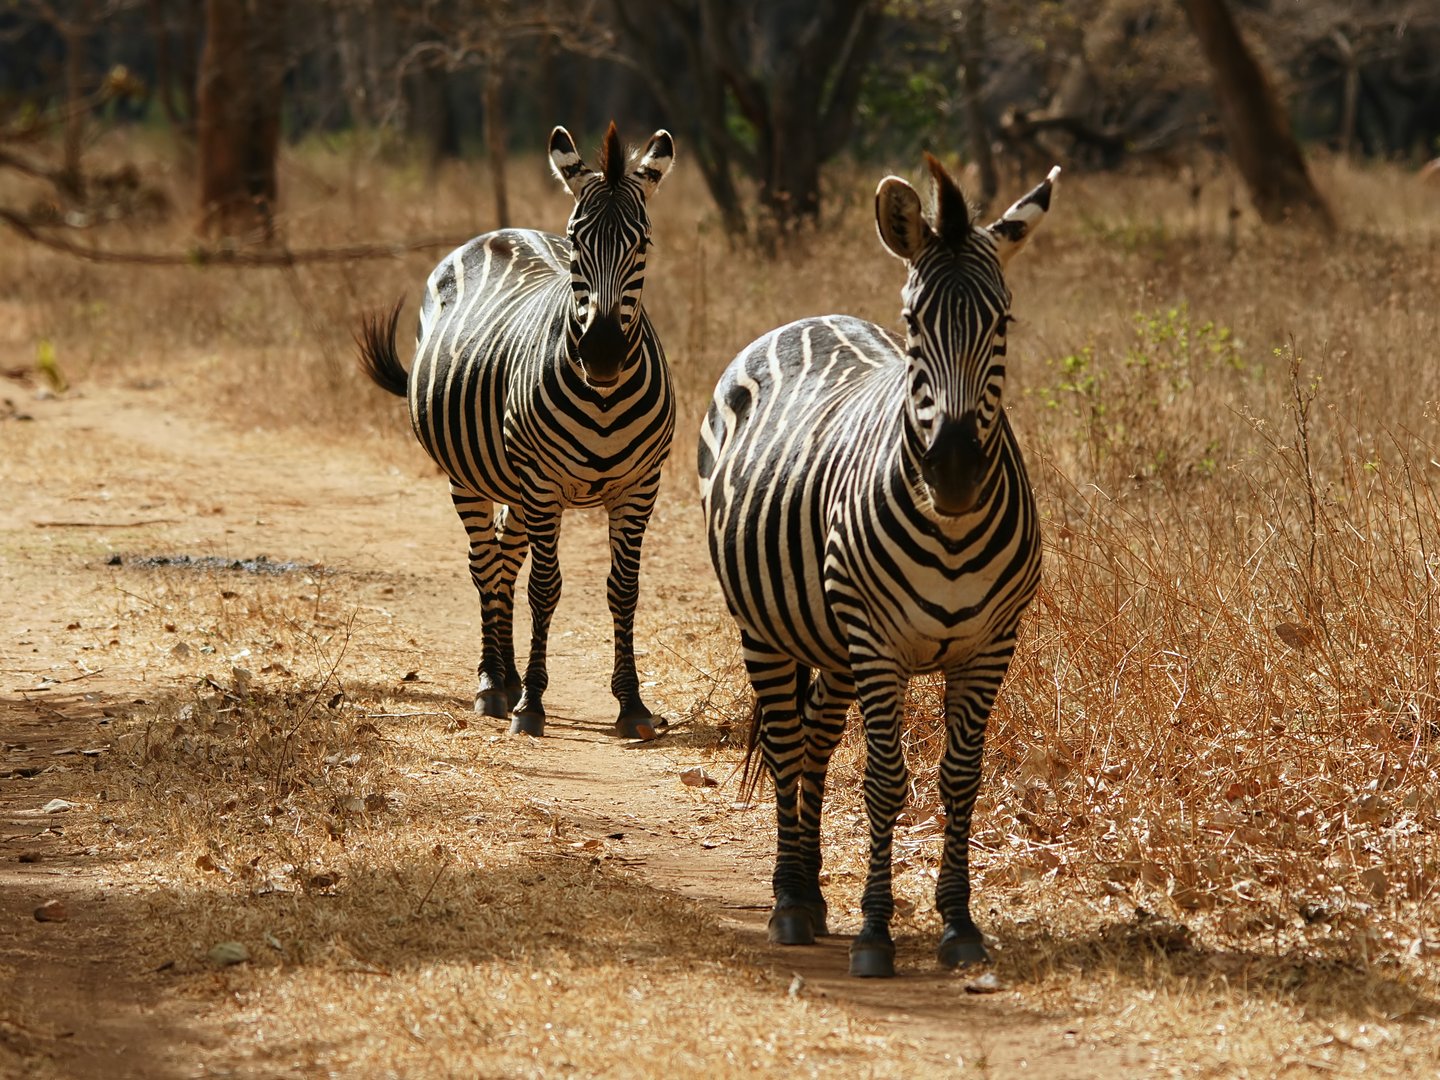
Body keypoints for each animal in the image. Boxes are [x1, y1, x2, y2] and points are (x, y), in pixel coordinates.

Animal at [358, 122, 675, 741]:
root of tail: (501, 232)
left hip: (516, 486)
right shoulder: (543, 482)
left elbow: (623, 590)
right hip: (474, 477)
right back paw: (493, 685)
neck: (604, 396)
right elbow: (545, 589)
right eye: (576, 242)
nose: (602, 355)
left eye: (643, 245)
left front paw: (631, 704)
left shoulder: (639, 486)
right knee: (485, 564)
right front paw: (532, 703)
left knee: (504, 559)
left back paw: (505, 676)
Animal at [698, 157, 1059, 977]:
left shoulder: (990, 646)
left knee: (813, 743)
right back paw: (789, 903)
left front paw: (958, 924)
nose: (952, 473)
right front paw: (875, 931)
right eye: (914, 324)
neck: (951, 530)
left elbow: (960, 781)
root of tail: (807, 319)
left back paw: (809, 893)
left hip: (829, 643)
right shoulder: (878, 643)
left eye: (1003, 323)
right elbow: (887, 782)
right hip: (767, 628)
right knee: (784, 742)